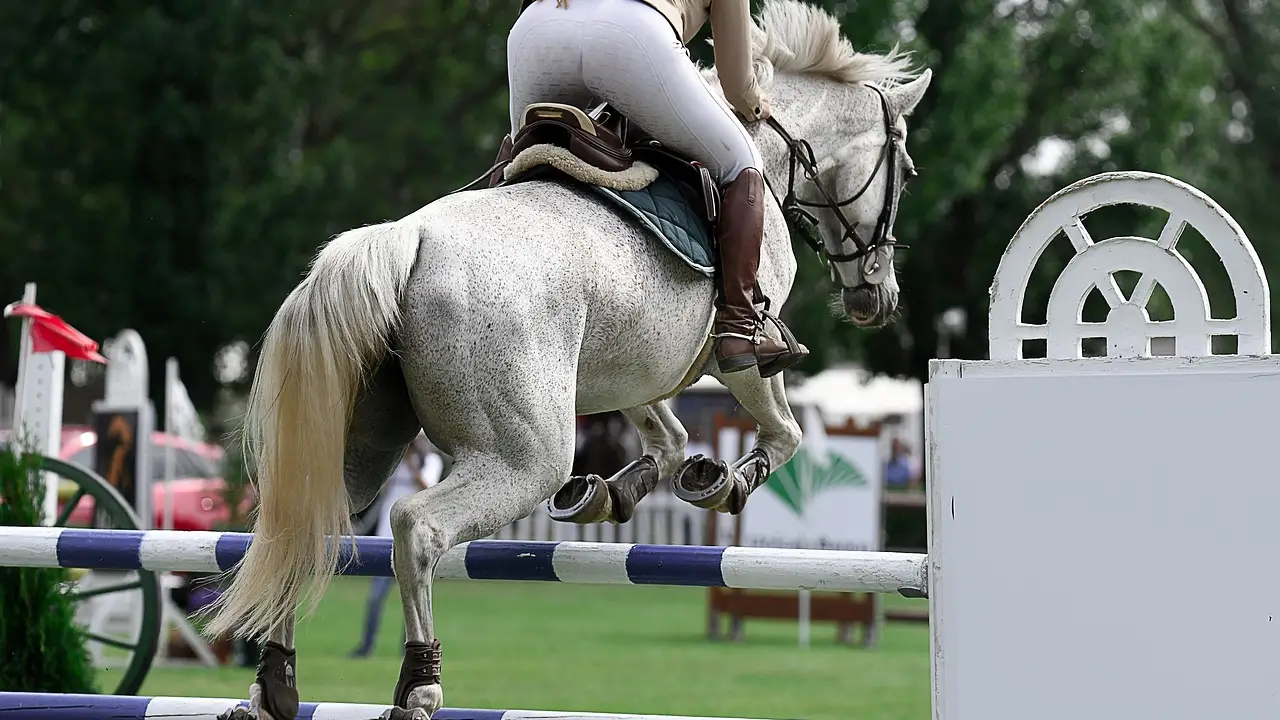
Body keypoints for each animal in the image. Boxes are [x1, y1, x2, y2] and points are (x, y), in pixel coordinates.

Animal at [203, 2, 931, 718]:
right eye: (906, 172)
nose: (877, 297)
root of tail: (407, 239)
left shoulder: (637, 365)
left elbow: (667, 437)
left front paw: (611, 492)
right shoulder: (741, 352)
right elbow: (785, 432)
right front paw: (723, 482)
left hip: (359, 439)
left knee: (309, 520)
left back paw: (275, 684)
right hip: (522, 457)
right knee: (417, 528)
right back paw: (418, 685)